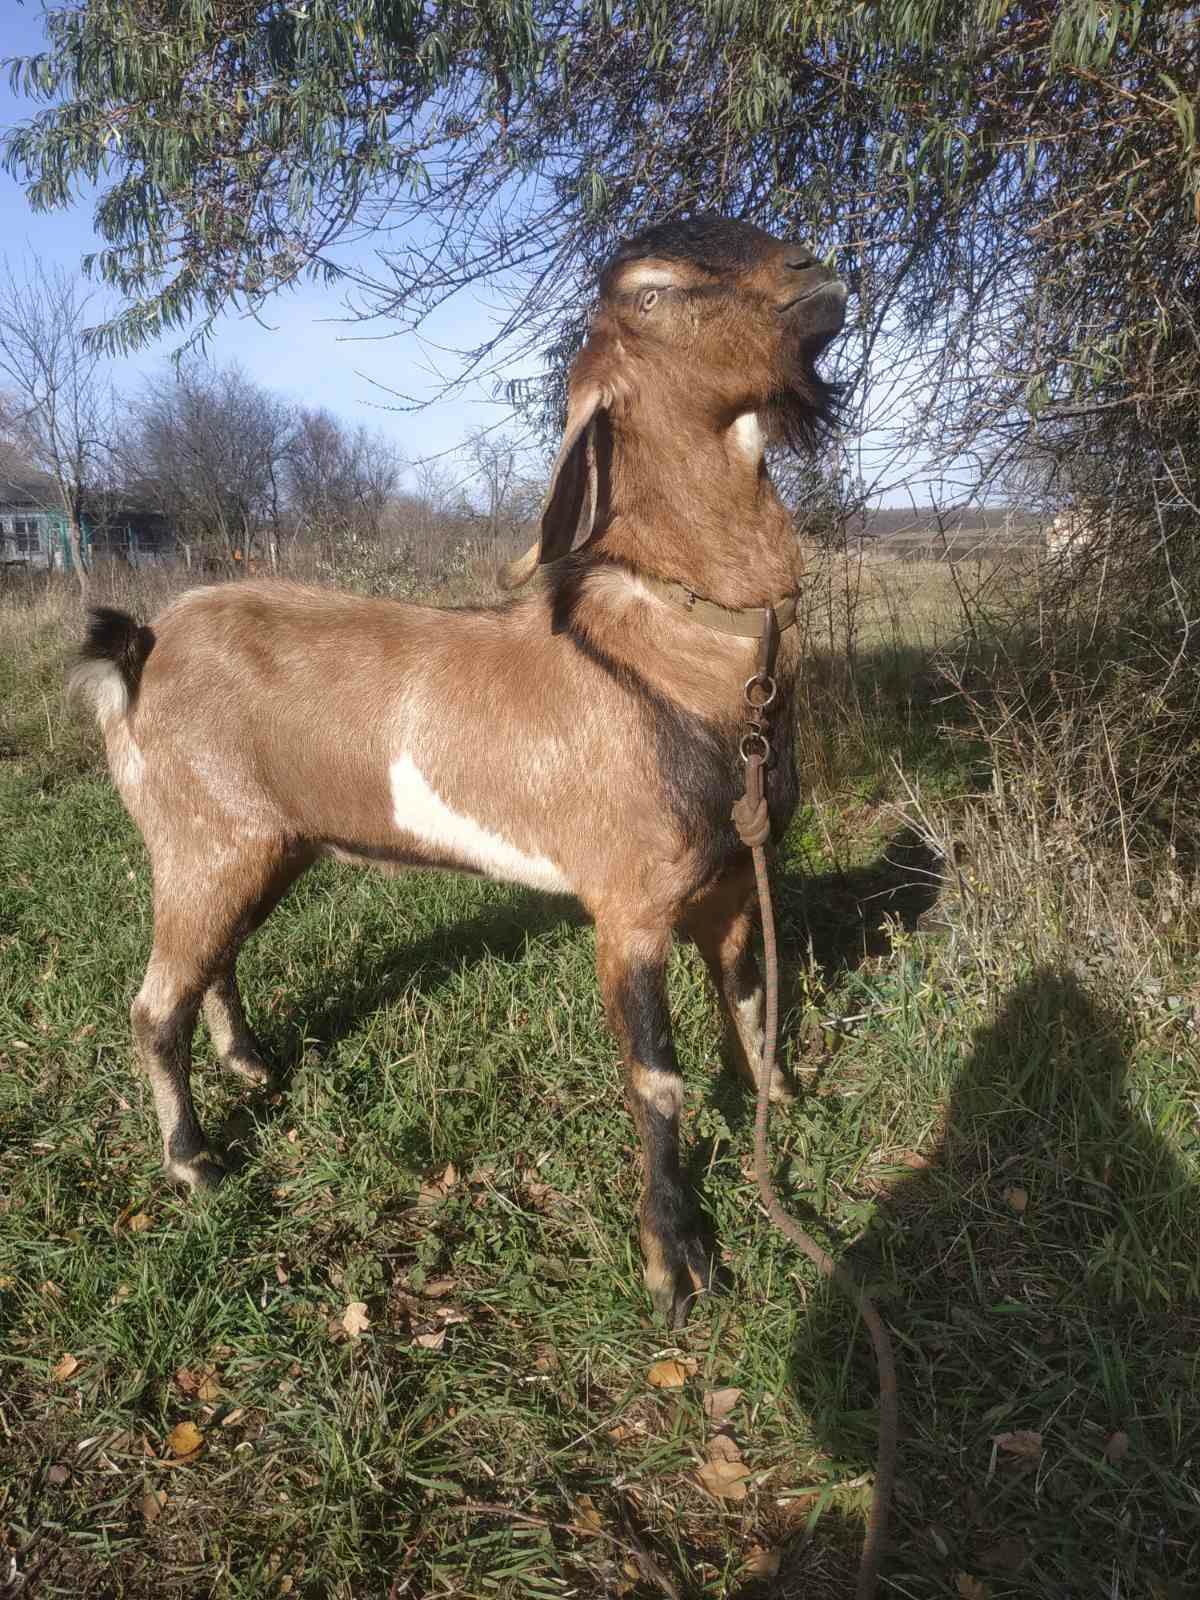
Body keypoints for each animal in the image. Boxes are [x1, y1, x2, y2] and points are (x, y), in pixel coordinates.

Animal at [72, 212, 844, 1324]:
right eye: (651, 290)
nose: (815, 273)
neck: (680, 653)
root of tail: (142, 645)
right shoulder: (630, 903)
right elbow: (655, 1079)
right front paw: (677, 1255)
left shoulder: (735, 878)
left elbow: (749, 1003)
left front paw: (784, 1102)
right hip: (200, 837)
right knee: (152, 1003)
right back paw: (195, 1162)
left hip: (262, 844)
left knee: (211, 962)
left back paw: (253, 1064)